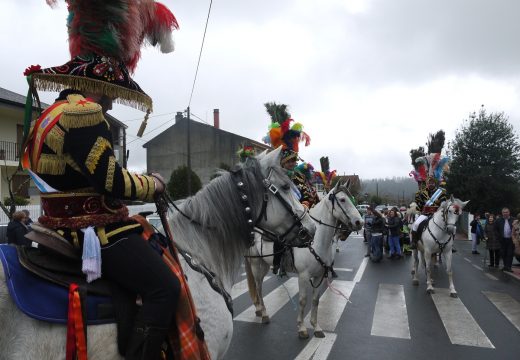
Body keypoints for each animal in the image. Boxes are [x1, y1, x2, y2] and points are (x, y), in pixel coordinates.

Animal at [247, 183, 362, 338]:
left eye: (352, 199)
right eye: (343, 200)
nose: (359, 222)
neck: (315, 241)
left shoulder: (319, 276)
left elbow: (315, 300)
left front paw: (316, 326)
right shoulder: (303, 276)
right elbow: (302, 301)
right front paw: (301, 328)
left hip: (264, 265)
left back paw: (259, 309)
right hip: (256, 265)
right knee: (258, 287)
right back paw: (264, 313)